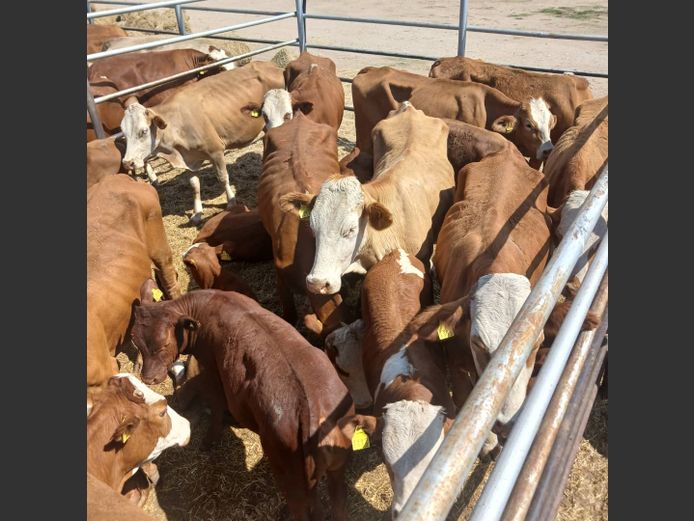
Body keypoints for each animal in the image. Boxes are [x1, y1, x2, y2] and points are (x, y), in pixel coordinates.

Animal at [120, 62, 284, 224]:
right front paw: (197, 213)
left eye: (143, 131)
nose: (127, 162)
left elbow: (223, 178)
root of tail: (271, 66)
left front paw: (231, 202)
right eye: (124, 133)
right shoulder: (189, 159)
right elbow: (194, 185)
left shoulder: (216, 151)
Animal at [130, 289, 356, 521]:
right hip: (336, 467)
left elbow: (217, 405)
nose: (148, 378)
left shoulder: (211, 368)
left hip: (289, 475)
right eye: (135, 340)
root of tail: (310, 411)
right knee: (338, 504)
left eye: (164, 345)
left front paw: (210, 438)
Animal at [351, 66, 556, 168]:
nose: (548, 150)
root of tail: (373, 70)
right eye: (529, 124)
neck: (486, 105)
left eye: (550, 124)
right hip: (364, 134)